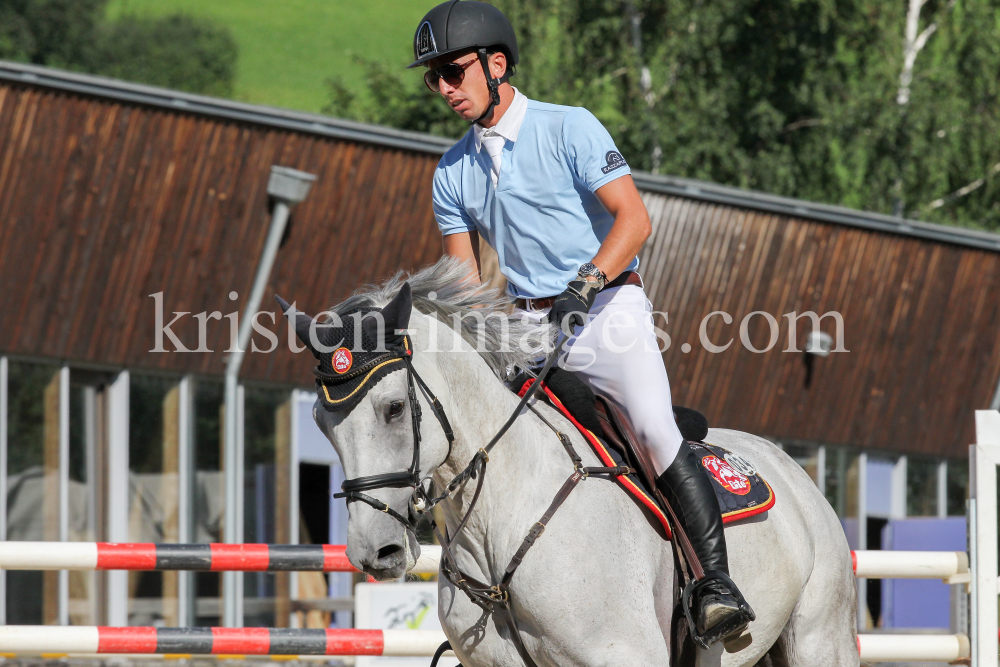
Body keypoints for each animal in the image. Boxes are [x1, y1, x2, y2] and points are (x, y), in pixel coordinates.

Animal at [300, 258, 856, 667]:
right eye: (321, 423)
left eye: (394, 408)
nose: (375, 552)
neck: (501, 516)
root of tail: (788, 466)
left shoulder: (624, 655)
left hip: (819, 638)